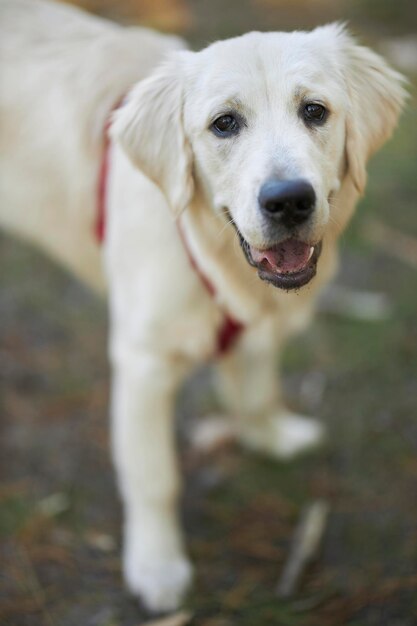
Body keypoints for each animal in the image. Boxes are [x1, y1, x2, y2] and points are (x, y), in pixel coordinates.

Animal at [0, 0, 404, 612]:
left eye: (315, 111)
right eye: (224, 124)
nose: (288, 201)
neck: (215, 259)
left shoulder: (259, 325)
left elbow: (255, 390)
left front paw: (270, 435)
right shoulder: (142, 364)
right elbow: (155, 479)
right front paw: (158, 566)